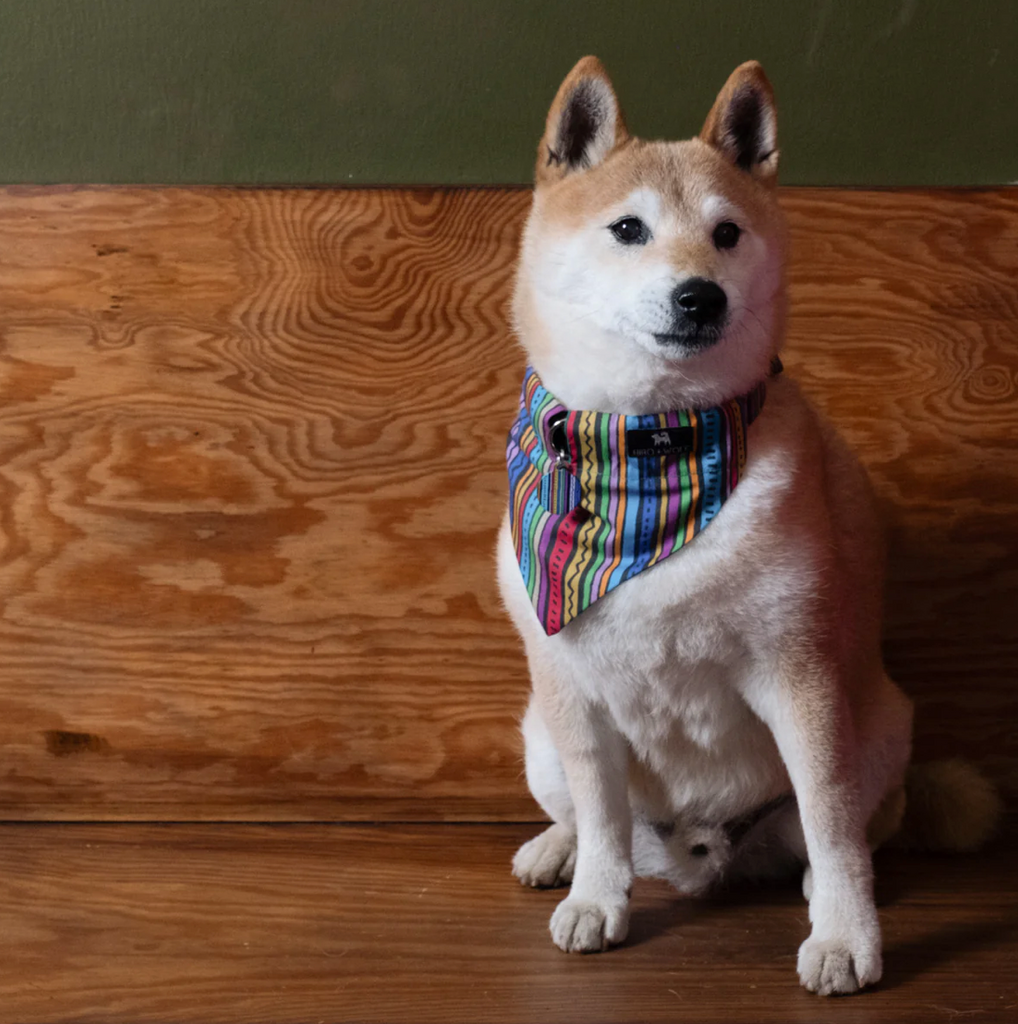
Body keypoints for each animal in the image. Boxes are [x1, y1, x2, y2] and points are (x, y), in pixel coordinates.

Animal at [495, 54, 995, 991]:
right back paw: (558, 849)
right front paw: (596, 895)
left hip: (876, 723)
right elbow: (604, 817)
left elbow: (834, 830)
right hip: (539, 735)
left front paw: (845, 936)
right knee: (593, 817)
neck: (652, 450)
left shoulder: (800, 681)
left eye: (726, 234)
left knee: (851, 828)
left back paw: (817, 882)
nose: (700, 297)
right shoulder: (572, 693)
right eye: (628, 229)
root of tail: (701, 851)